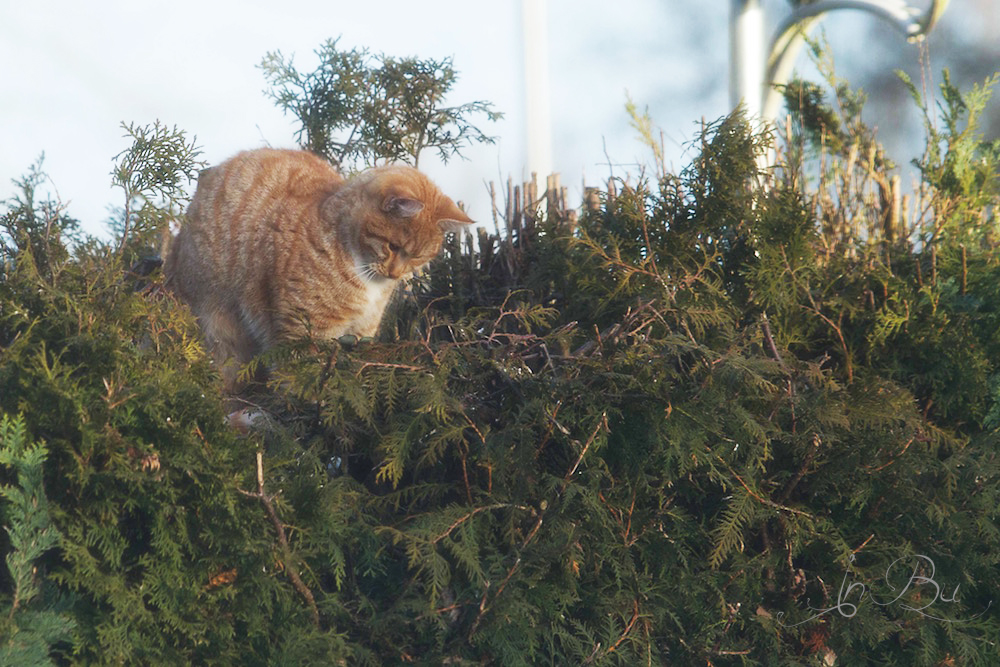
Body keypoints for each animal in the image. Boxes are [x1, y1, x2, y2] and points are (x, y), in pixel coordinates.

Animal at [164, 149, 472, 388]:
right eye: (393, 246)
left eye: (418, 257)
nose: (395, 274)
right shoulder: (302, 332)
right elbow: (301, 380)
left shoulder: (361, 333)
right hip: (218, 326)